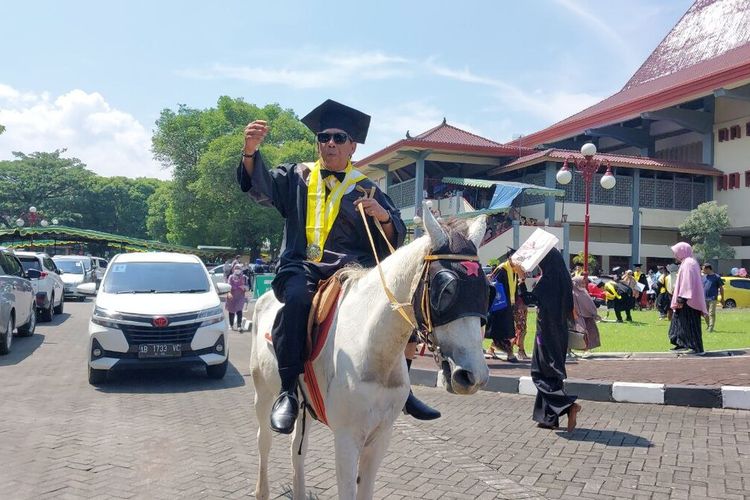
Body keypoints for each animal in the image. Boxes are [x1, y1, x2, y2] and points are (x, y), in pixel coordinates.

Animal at [250, 205, 490, 498]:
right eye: (446, 289)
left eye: (487, 290)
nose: (473, 375)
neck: (373, 350)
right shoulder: (346, 439)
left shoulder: (380, 437)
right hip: (263, 392)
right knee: (264, 440)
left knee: (298, 449)